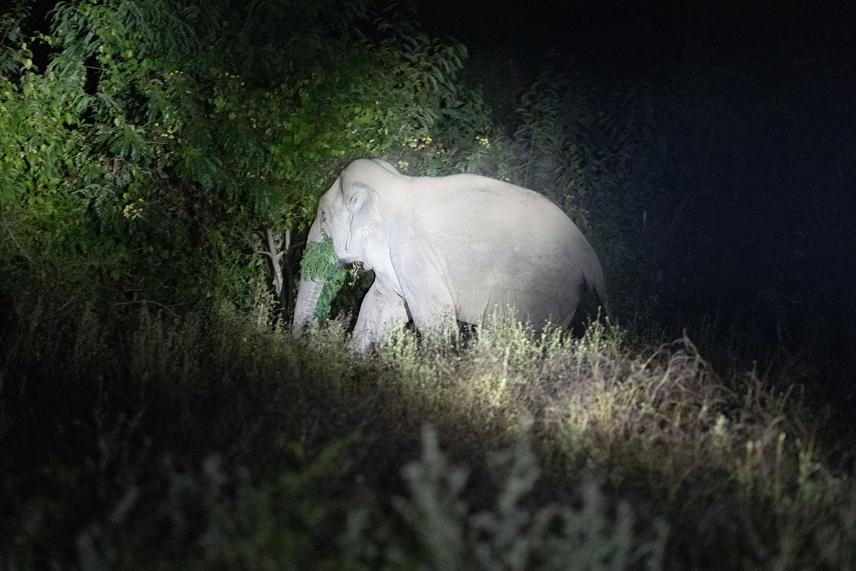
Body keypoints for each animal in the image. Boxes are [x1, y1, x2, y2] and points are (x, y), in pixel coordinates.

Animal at [293, 158, 609, 352]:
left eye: (323, 216)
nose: (304, 338)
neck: (393, 182)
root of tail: (591, 260)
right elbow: (380, 306)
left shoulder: (413, 251)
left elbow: (433, 316)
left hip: (538, 289)